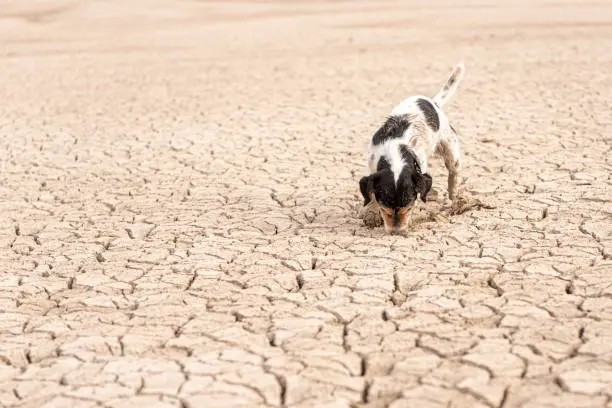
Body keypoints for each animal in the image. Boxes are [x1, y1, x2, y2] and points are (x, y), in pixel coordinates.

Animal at [358, 61, 464, 233]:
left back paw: (453, 198)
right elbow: (371, 193)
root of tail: (433, 102)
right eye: (384, 209)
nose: (396, 232)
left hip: (451, 149)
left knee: (453, 174)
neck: (395, 150)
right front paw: (372, 213)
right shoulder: (373, 165)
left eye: (408, 208)